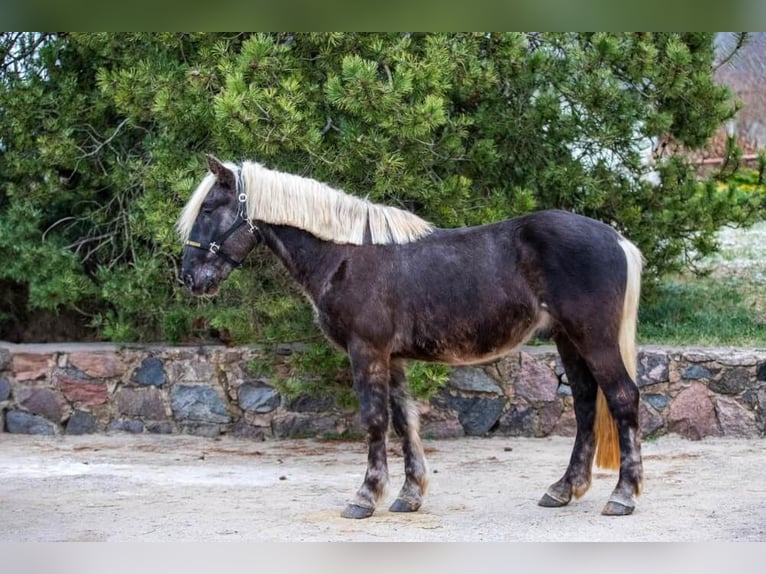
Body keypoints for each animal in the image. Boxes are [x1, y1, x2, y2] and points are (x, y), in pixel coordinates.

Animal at [177, 155, 644, 520]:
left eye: (210, 208)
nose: (189, 278)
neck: (346, 256)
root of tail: (616, 238)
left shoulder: (366, 351)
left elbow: (374, 420)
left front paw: (365, 497)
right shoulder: (393, 357)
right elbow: (404, 421)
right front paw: (409, 495)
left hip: (593, 339)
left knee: (622, 398)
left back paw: (622, 497)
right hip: (569, 340)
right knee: (585, 404)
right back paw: (563, 489)